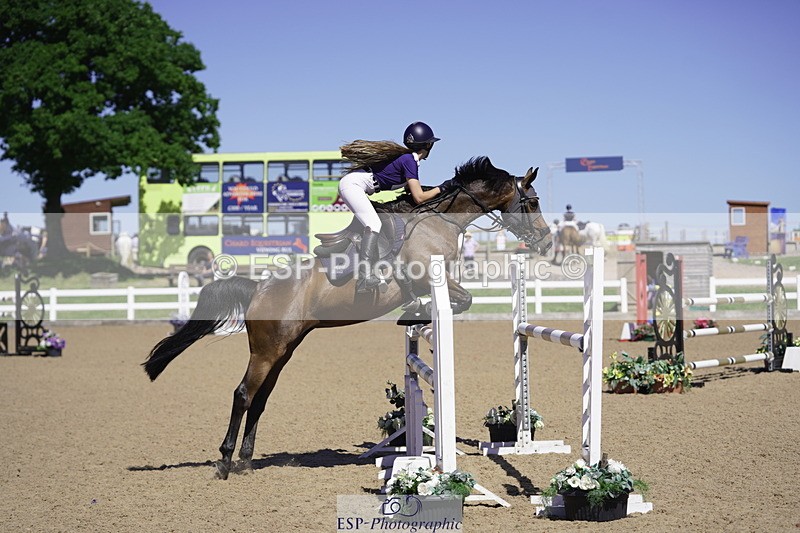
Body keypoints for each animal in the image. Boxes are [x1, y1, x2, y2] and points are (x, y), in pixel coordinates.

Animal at [143, 156, 552, 480]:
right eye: (531, 202)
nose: (547, 242)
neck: (440, 221)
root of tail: (257, 288)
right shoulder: (427, 275)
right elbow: (462, 299)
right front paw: (417, 315)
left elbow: (456, 300)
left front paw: (414, 316)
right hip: (266, 351)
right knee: (243, 394)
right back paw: (225, 462)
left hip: (283, 350)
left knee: (259, 399)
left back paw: (245, 461)